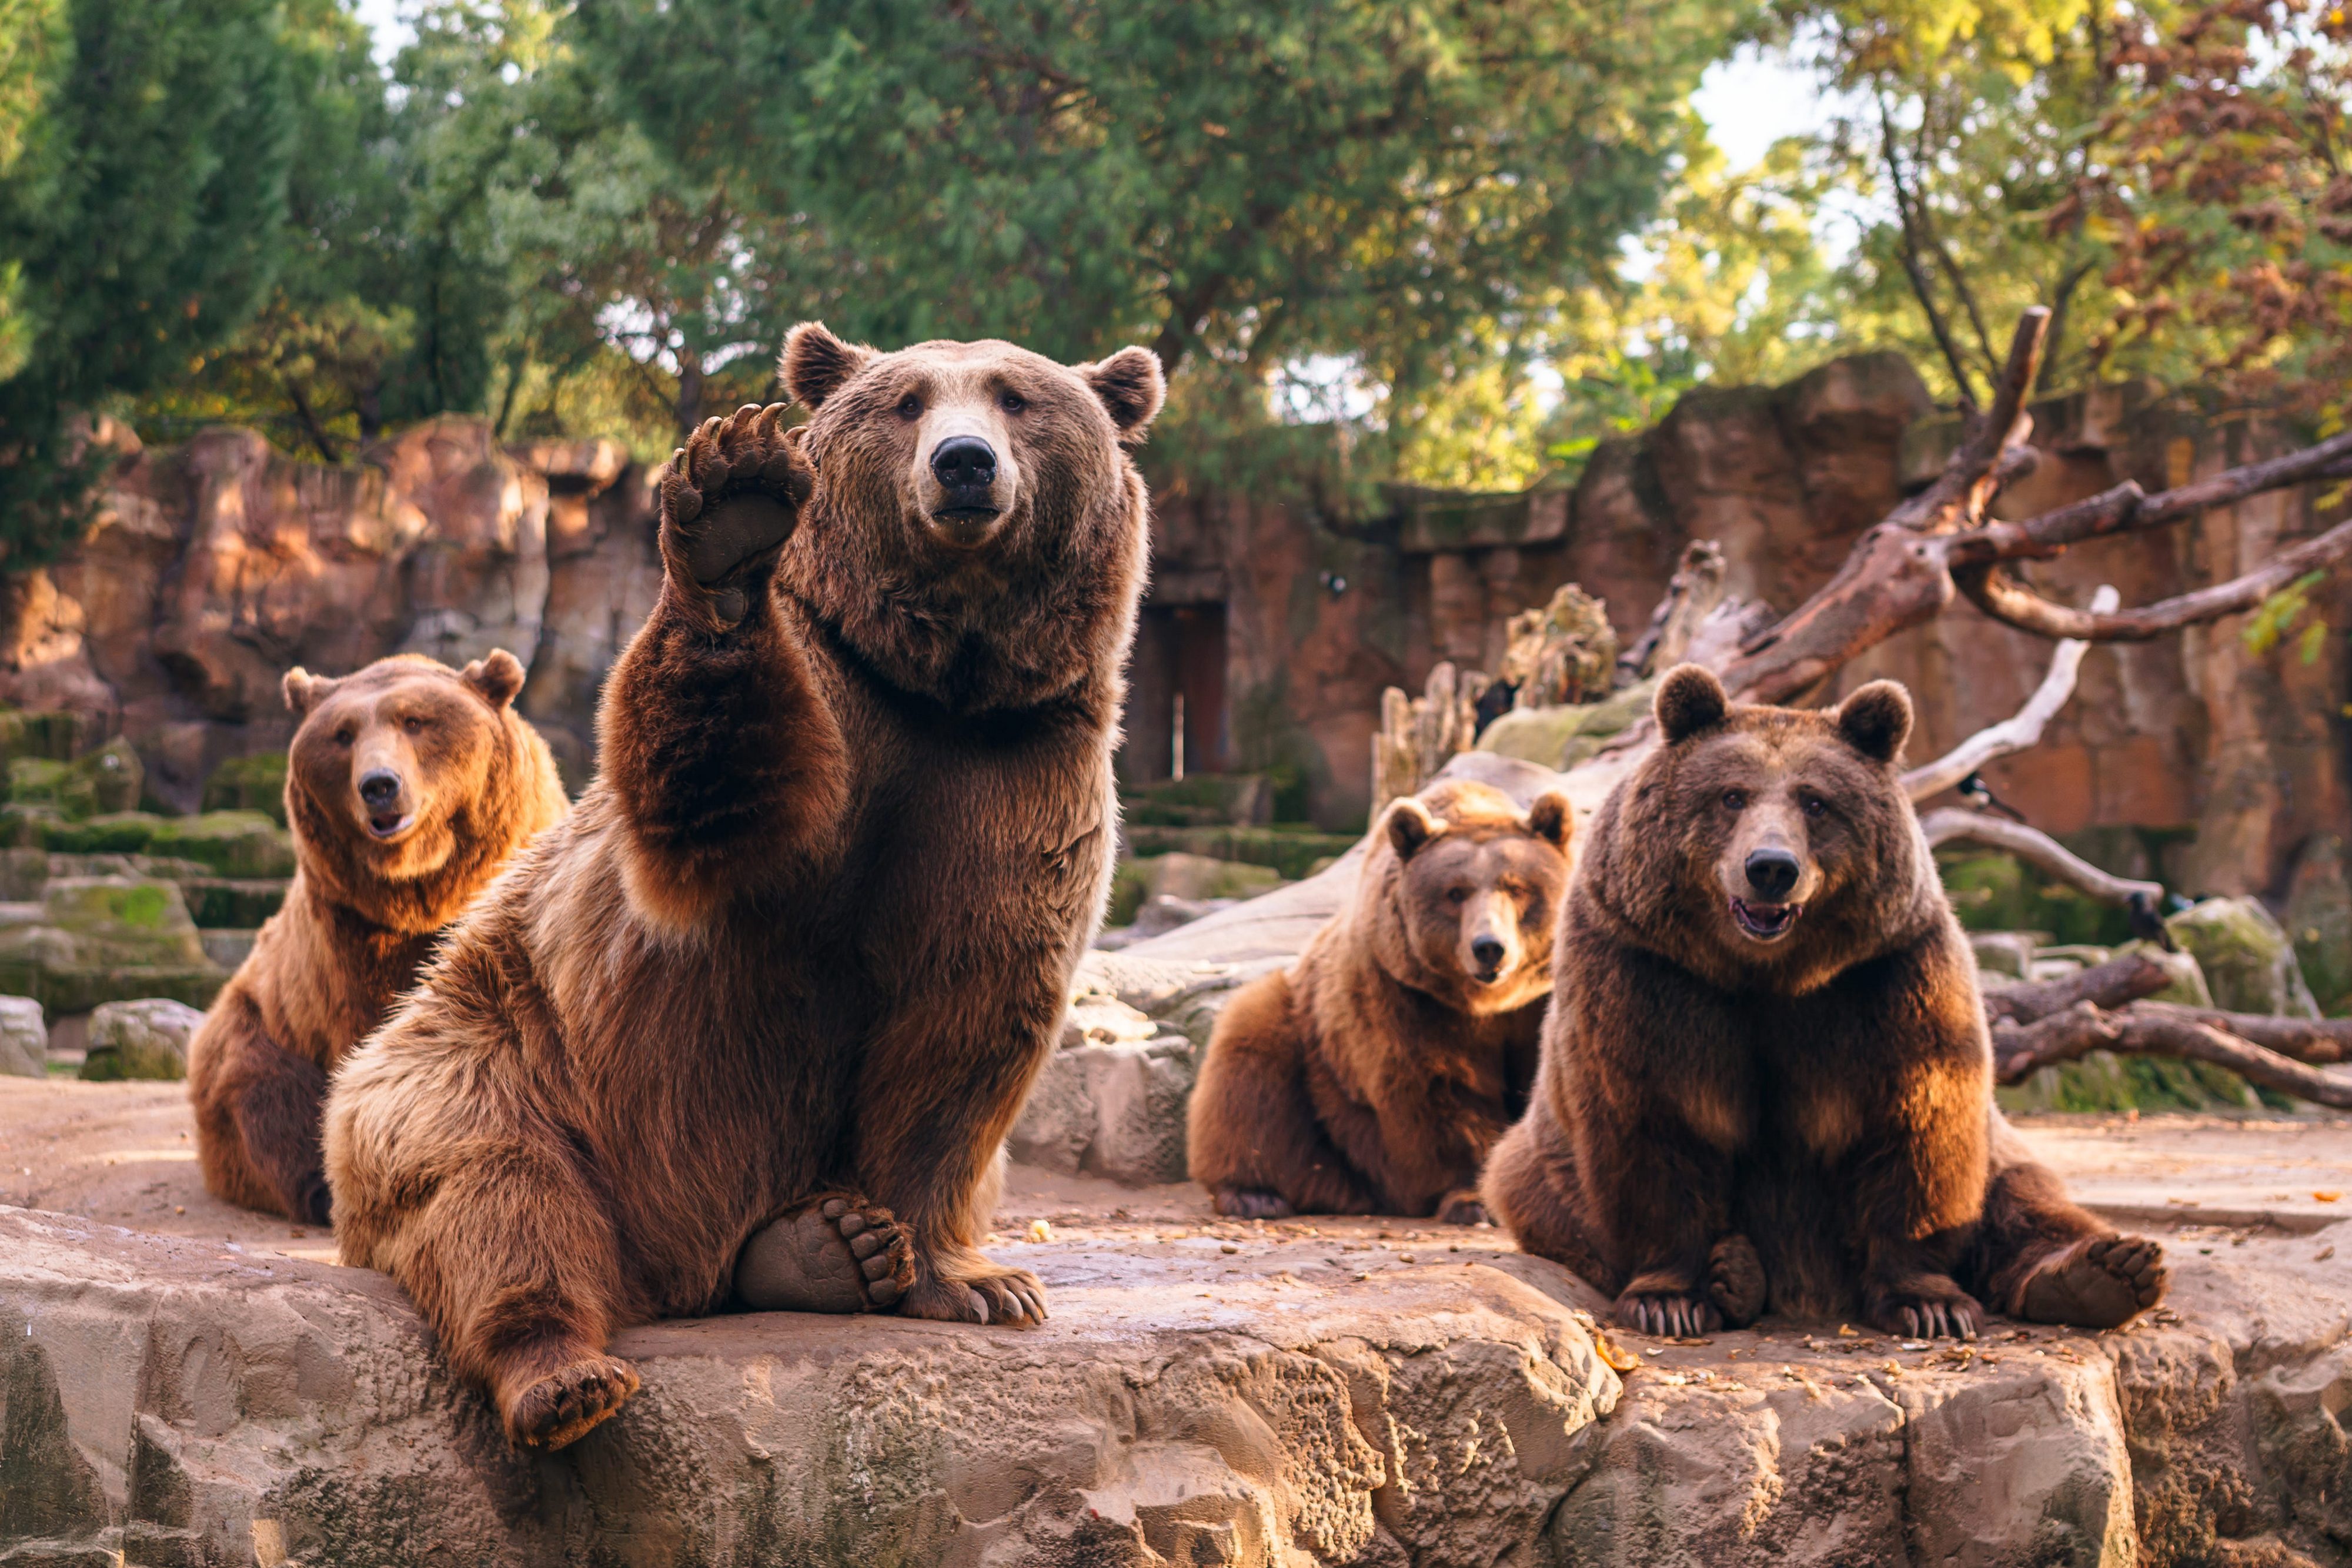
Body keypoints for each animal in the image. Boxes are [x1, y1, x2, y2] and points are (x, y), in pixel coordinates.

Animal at [188, 648, 564, 1222]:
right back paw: (319, 1191)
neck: (424, 890)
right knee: (266, 1099)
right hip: (262, 1023)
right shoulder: (350, 934)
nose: (379, 784)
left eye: (415, 720)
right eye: (343, 734)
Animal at [327, 324, 1171, 1457]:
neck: (940, 686)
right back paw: (567, 1375)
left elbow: (962, 1032)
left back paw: (830, 1247)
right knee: (497, 1196)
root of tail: (668, 1272)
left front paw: (979, 1281)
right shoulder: (828, 716)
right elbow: (710, 799)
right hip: (485, 1063)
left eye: (1017, 398)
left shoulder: (1017, 776)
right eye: (908, 400)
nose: (964, 465)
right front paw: (733, 512)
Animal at [1185, 780, 1571, 1222]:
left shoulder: (1540, 1001)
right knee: (1249, 1069)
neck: (1488, 1005)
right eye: (1455, 892)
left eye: (1517, 887)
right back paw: (1254, 1194)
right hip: (1308, 1049)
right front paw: (1473, 1198)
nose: (1489, 948)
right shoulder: (1404, 995)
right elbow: (1440, 1093)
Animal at [1486, 667, 2164, 1345]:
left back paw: (2105, 1270)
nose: (1770, 867)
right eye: (1731, 796)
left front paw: (1930, 1303)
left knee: (2024, 1197)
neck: (1767, 974)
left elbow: (1919, 1122)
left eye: (1815, 802)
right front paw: (1669, 1298)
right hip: (1538, 1170)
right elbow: (1655, 1120)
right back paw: (1737, 1273)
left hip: (2000, 1149)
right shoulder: (1649, 974)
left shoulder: (1884, 980)